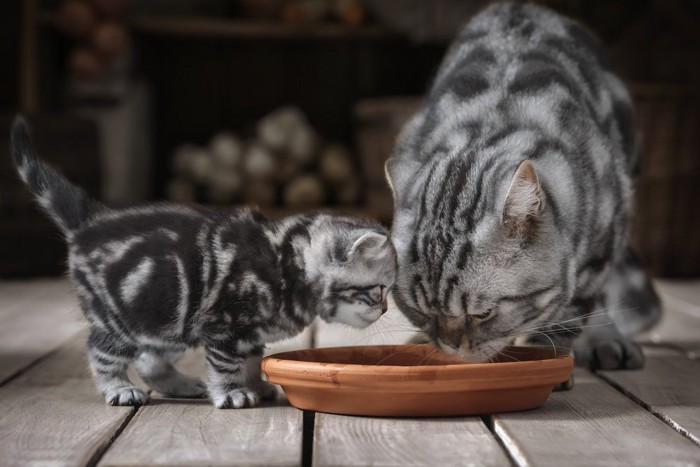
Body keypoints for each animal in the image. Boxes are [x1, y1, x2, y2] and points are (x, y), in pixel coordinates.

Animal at [10, 118, 396, 410]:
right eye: (379, 290)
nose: (385, 309)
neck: (287, 262)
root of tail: (90, 222)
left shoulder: (247, 333)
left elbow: (251, 360)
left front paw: (255, 384)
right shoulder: (224, 325)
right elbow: (227, 365)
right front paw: (233, 393)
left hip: (169, 318)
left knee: (150, 360)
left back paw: (178, 385)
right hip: (123, 317)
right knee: (100, 349)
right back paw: (118, 388)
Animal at [386, 2, 660, 370]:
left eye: (483, 313)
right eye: (420, 311)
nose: (450, 346)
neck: (491, 127)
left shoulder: (602, 239)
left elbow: (571, 314)